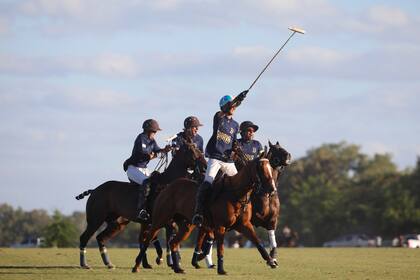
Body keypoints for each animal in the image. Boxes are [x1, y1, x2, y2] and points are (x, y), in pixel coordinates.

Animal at [75, 140, 207, 270]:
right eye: (193, 151)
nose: (205, 167)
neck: (167, 184)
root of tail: (94, 190)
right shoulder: (160, 221)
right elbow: (153, 239)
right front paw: (161, 260)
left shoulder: (158, 222)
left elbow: (151, 239)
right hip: (95, 219)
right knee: (84, 237)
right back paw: (84, 264)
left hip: (117, 223)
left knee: (100, 238)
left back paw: (108, 263)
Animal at [133, 155, 278, 276]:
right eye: (261, 169)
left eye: (271, 169)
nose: (272, 189)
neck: (236, 194)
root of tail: (166, 187)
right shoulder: (220, 226)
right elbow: (220, 248)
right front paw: (221, 269)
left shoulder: (244, 225)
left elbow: (258, 242)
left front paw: (271, 261)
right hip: (159, 219)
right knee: (147, 240)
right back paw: (136, 266)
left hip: (186, 226)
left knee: (173, 242)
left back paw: (178, 268)